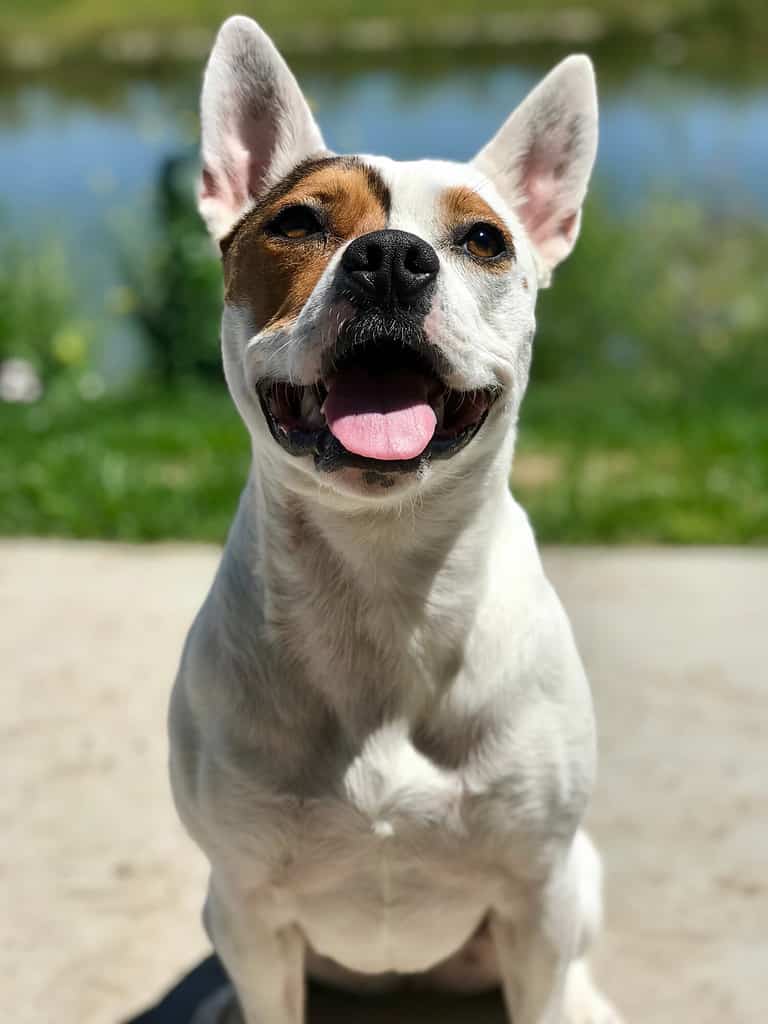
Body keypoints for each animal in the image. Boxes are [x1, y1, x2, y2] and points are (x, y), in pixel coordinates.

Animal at [167, 18, 626, 1024]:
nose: (389, 258)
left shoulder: (536, 897)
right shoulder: (250, 906)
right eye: (299, 223)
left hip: (577, 882)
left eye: (485, 239)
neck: (384, 581)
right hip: (221, 909)